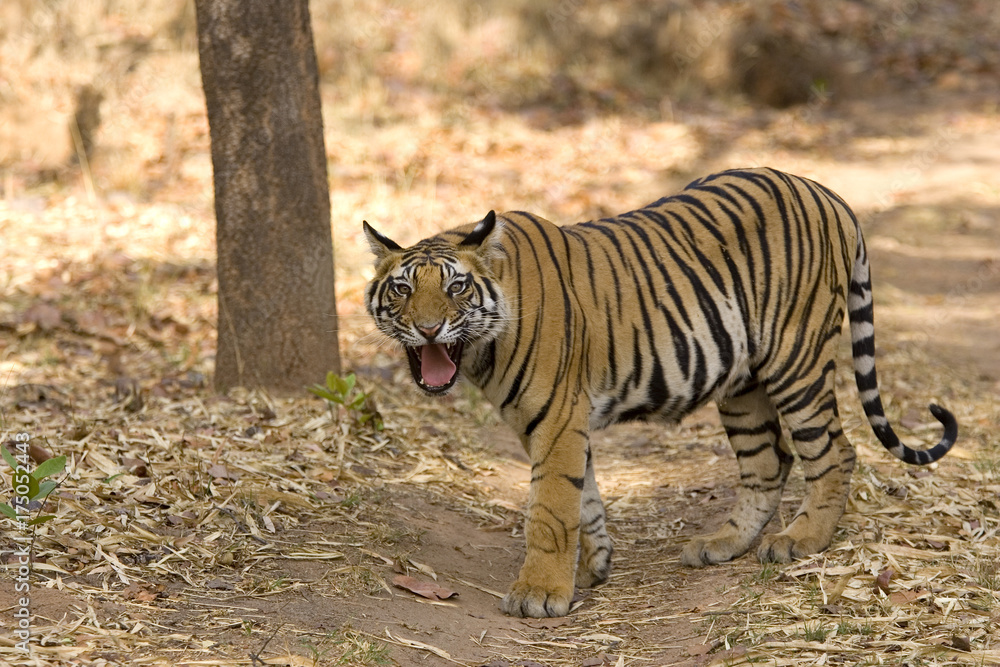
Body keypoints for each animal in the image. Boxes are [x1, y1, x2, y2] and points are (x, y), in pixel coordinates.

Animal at [362, 167, 958, 618]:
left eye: (457, 287)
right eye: (402, 289)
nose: (429, 330)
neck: (481, 350)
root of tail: (825, 191)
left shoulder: (556, 418)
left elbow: (550, 507)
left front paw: (540, 593)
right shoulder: (559, 422)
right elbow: (584, 496)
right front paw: (593, 565)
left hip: (796, 359)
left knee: (835, 452)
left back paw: (801, 539)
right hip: (743, 383)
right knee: (770, 461)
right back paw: (721, 544)